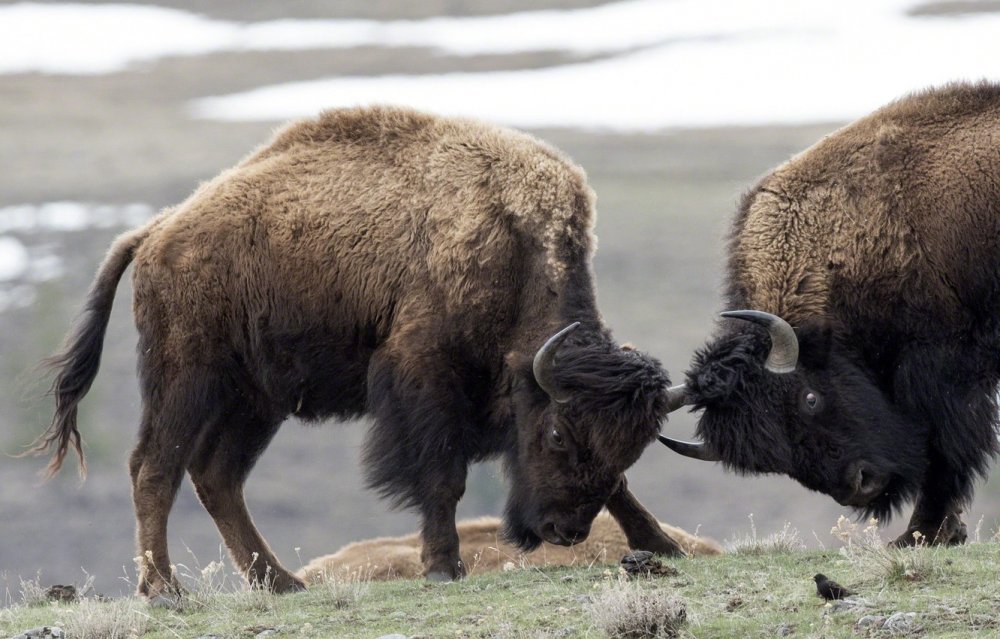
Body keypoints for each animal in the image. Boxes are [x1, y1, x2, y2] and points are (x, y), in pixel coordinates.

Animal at [33, 105, 688, 600]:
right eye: (555, 435)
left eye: (631, 447)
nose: (564, 531)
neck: (512, 241)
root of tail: (158, 231)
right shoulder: (426, 377)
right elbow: (443, 476)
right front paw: (443, 567)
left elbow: (619, 489)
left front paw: (662, 545)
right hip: (185, 379)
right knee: (155, 468)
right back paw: (166, 592)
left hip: (258, 401)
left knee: (217, 476)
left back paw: (281, 582)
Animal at [660, 82, 1000, 548]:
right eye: (772, 456)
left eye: (811, 398)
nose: (860, 484)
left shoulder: (942, 369)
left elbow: (946, 449)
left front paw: (921, 533)